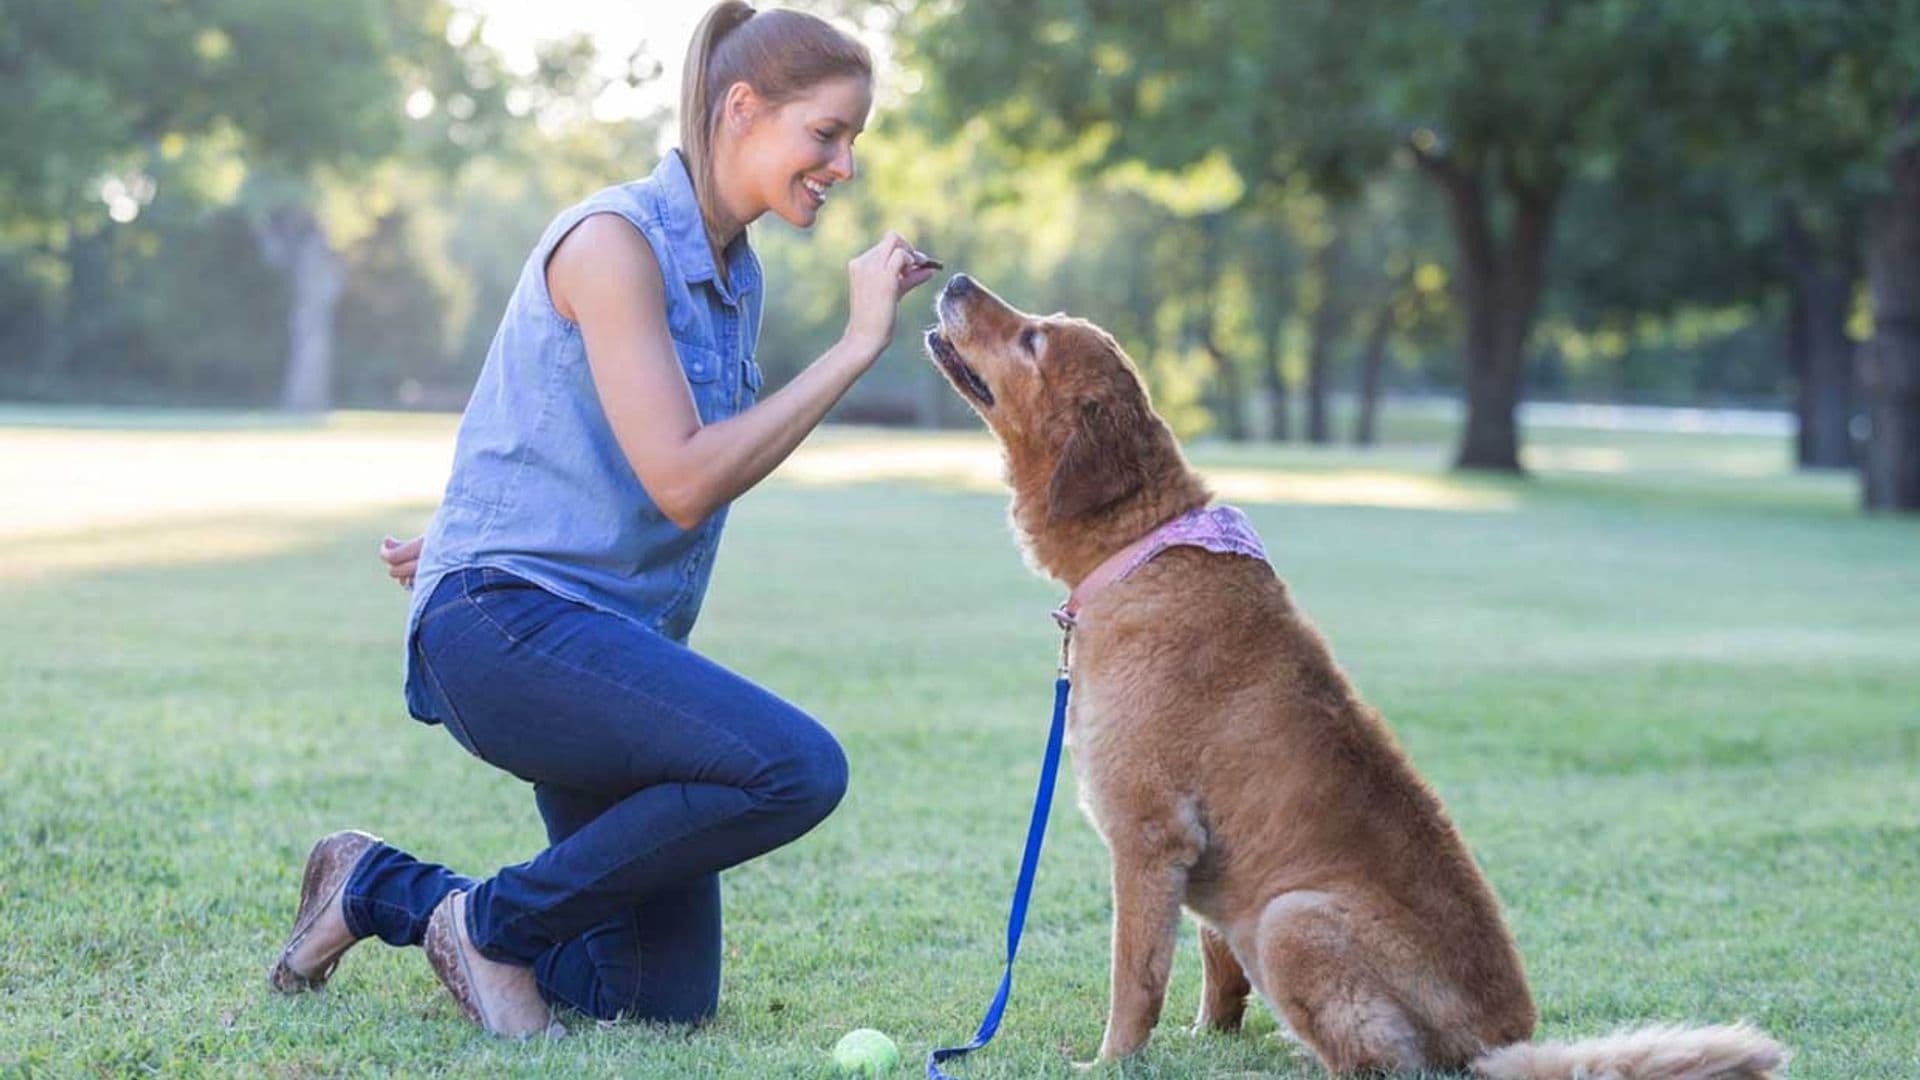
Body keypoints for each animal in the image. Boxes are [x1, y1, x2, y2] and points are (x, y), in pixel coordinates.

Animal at [917, 272, 1781, 1068]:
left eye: (1033, 338)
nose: (953, 277)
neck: (1143, 543)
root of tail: (1502, 1044)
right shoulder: (1199, 866)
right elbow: (1214, 967)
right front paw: (1211, 1040)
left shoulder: (1149, 838)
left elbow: (1136, 979)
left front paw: (1110, 1062)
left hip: (1292, 919)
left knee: (1370, 1062)